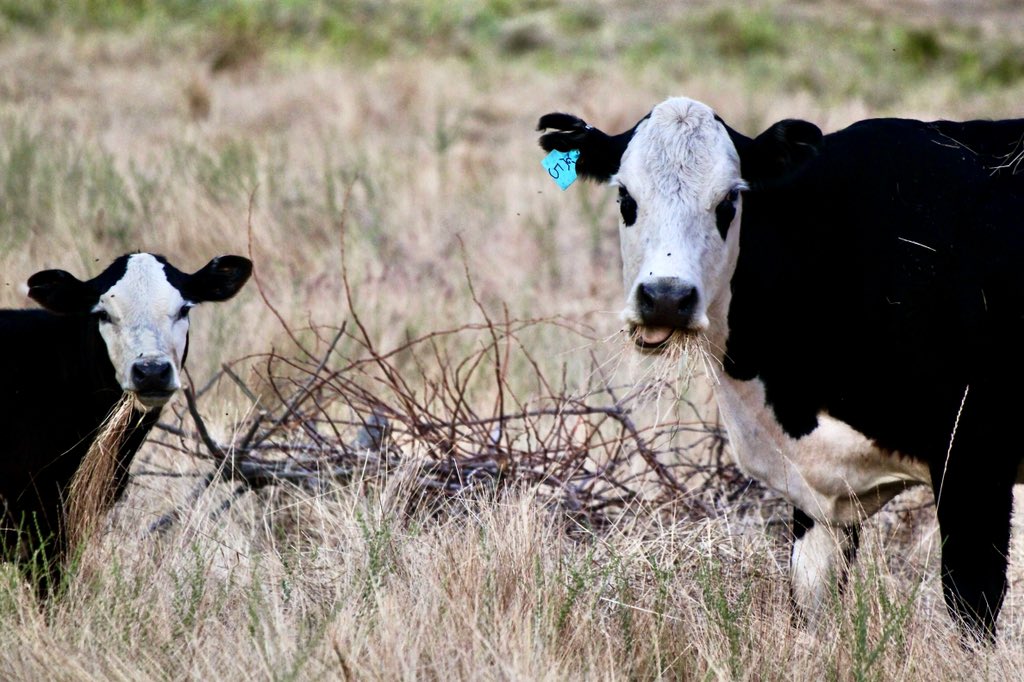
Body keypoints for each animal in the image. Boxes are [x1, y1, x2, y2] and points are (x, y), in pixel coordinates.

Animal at [538, 97, 1024, 641]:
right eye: (626, 197)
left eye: (729, 201)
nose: (666, 298)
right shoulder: (822, 496)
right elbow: (808, 607)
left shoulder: (975, 457)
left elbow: (971, 604)